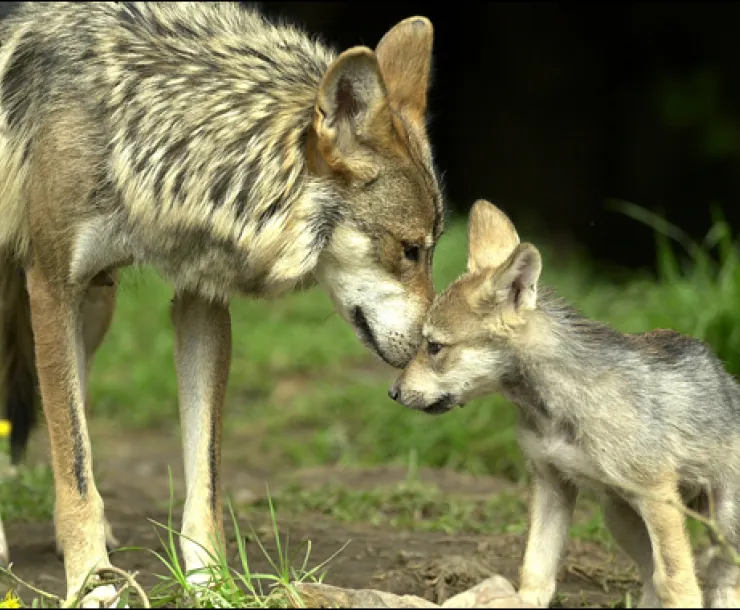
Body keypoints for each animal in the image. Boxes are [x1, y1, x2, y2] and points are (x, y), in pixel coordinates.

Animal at [0, 2, 444, 605]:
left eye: (432, 248)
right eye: (409, 249)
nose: (432, 351)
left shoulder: (201, 298)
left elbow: (202, 479)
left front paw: (212, 584)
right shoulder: (49, 285)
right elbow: (76, 466)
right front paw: (92, 584)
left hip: (96, 307)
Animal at [390, 199, 740, 608]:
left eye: (434, 347)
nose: (393, 393)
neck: (554, 409)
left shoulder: (657, 496)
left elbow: (678, 583)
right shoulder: (551, 484)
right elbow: (535, 571)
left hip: (722, 525)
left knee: (719, 579)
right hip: (619, 516)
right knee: (651, 578)